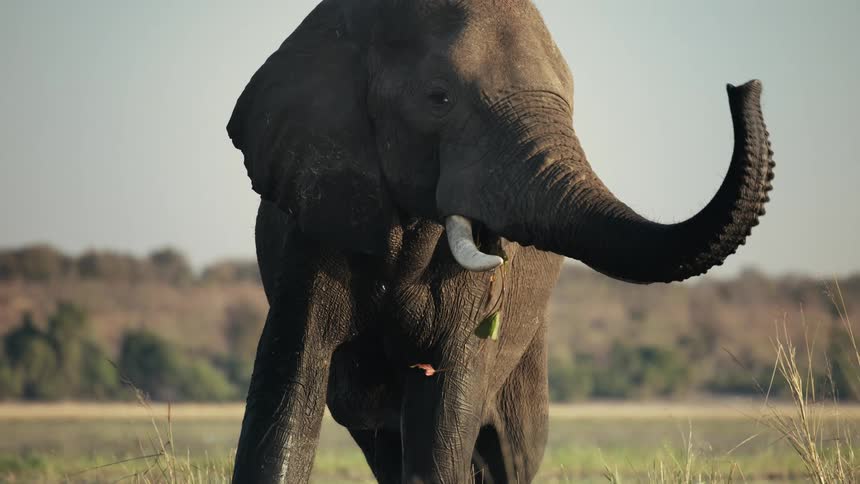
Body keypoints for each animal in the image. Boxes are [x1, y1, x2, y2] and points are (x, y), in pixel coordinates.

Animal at [226, 0, 774, 482]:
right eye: (439, 98)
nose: (743, 86)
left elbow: (445, 408)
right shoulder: (312, 230)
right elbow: (288, 391)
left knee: (516, 448)